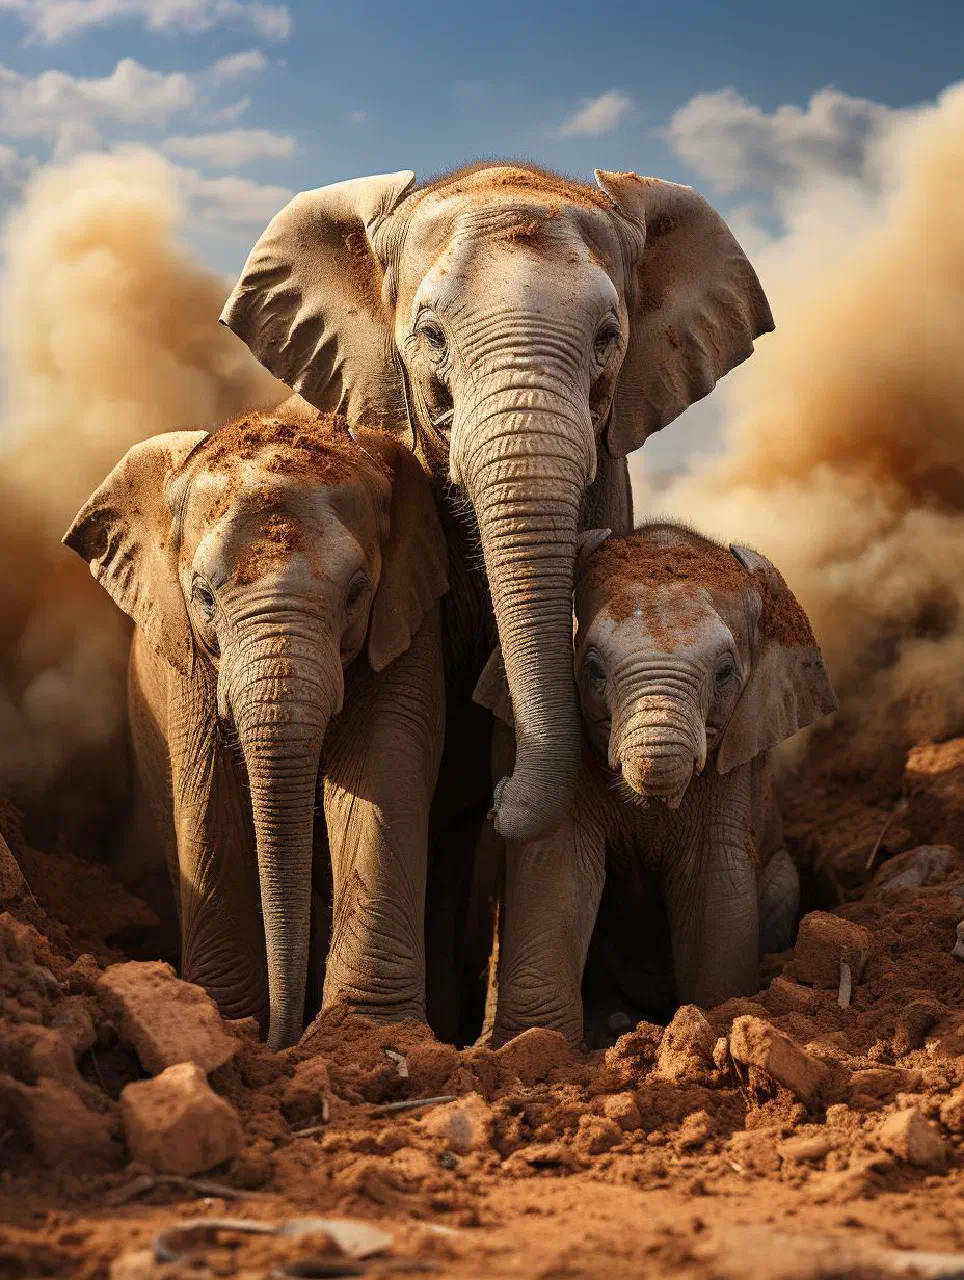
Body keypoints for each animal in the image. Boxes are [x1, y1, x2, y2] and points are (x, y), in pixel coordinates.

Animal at [63, 405, 448, 1050]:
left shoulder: (405, 626)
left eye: (356, 593)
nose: (281, 1042)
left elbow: (378, 774)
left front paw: (370, 1037)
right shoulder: (186, 656)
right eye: (202, 595)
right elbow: (208, 791)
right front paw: (224, 1020)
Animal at [474, 522, 837, 1047]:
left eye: (725, 674)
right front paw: (533, 1044)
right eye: (593, 669)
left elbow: (713, 878)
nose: (497, 800)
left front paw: (718, 1015)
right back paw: (614, 1023)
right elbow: (557, 867)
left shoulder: (734, 766)